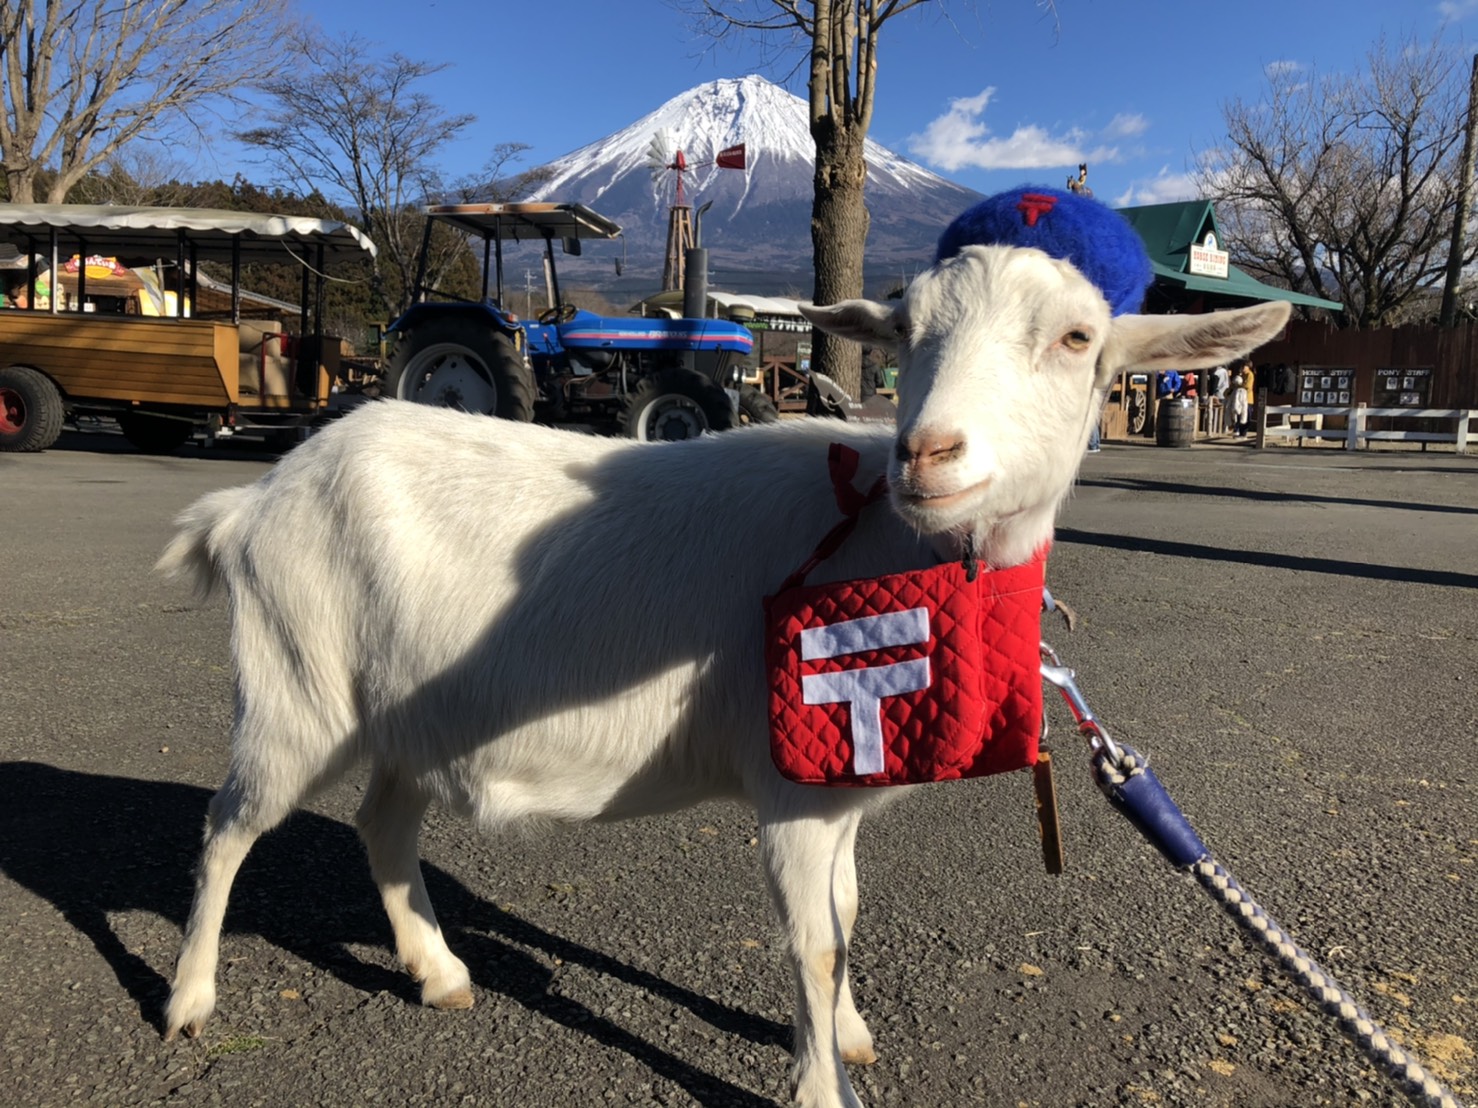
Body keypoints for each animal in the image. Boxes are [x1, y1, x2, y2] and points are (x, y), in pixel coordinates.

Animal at [160, 228, 1288, 1108]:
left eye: (1076, 338)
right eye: (906, 333)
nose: (927, 454)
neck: (879, 536)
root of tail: (251, 502)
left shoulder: (841, 777)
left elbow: (846, 914)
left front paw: (847, 1035)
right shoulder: (790, 782)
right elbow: (813, 939)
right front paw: (822, 1086)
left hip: (407, 713)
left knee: (382, 822)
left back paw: (437, 972)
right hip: (293, 686)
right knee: (228, 828)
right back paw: (187, 1000)